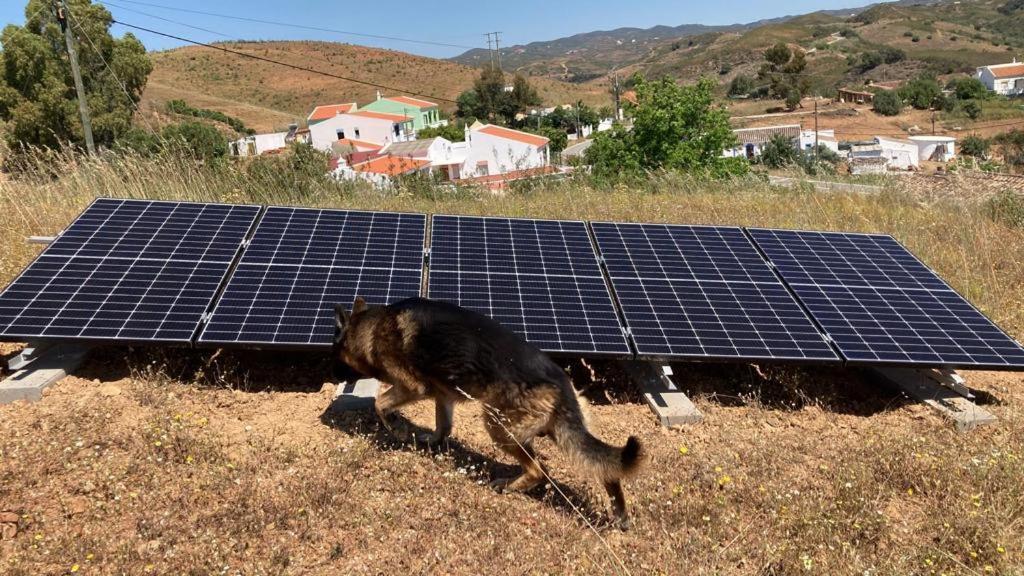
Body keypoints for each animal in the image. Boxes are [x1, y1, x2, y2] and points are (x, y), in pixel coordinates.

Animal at [331, 295, 643, 524]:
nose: (336, 378)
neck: (373, 325)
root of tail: (562, 385)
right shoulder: (442, 394)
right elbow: (443, 425)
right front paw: (431, 441)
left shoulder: (412, 386)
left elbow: (379, 403)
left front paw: (395, 429)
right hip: (560, 432)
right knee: (606, 467)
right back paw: (619, 514)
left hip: (498, 425)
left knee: (539, 470)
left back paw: (508, 485)